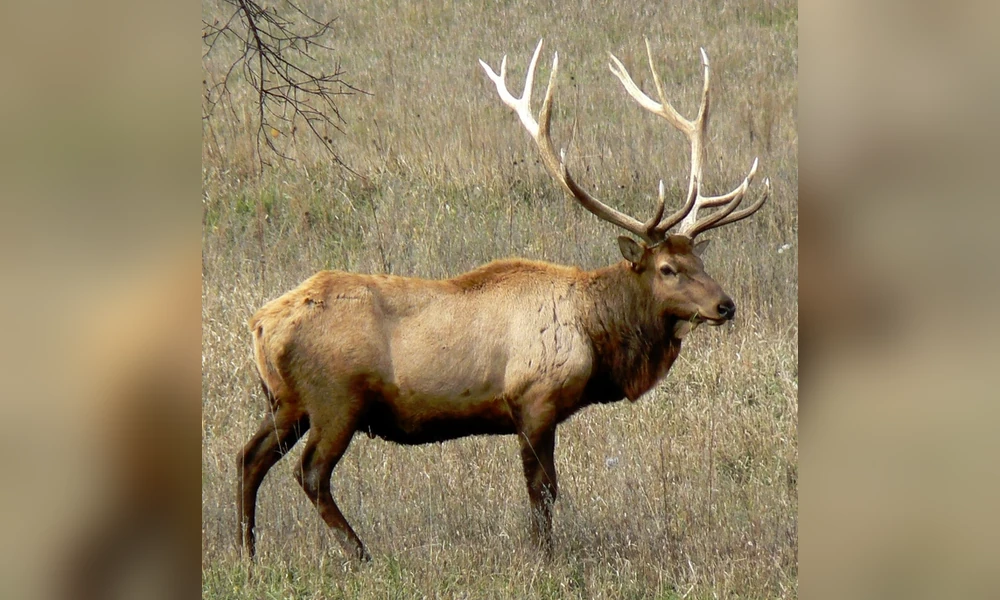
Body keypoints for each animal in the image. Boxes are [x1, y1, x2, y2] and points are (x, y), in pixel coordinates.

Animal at [237, 39, 770, 562]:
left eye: (699, 260)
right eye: (667, 269)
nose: (725, 305)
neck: (597, 337)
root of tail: (260, 323)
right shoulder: (534, 398)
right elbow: (543, 490)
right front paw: (544, 557)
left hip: (287, 401)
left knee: (249, 457)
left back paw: (248, 551)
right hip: (335, 399)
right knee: (309, 472)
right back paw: (360, 554)